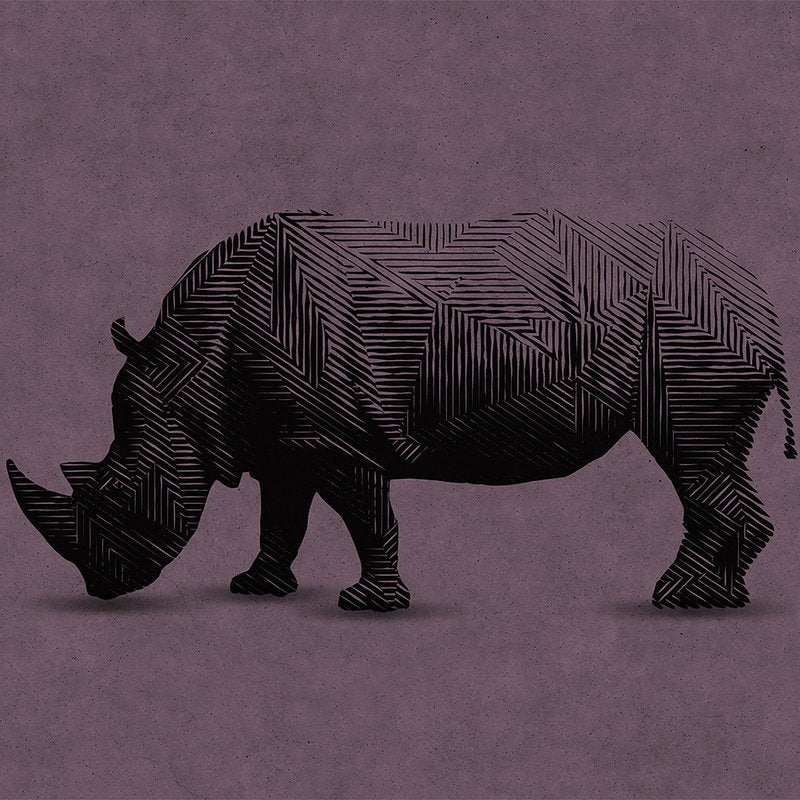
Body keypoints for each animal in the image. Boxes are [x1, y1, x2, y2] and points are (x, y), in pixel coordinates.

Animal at [8, 210, 796, 610]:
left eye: (118, 495)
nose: (101, 588)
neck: (188, 368)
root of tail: (756, 286)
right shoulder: (282, 436)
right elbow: (281, 514)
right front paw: (256, 588)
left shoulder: (333, 437)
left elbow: (367, 514)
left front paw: (368, 603)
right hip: (698, 321)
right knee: (715, 458)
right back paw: (724, 598)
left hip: (689, 327)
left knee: (691, 453)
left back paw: (677, 598)